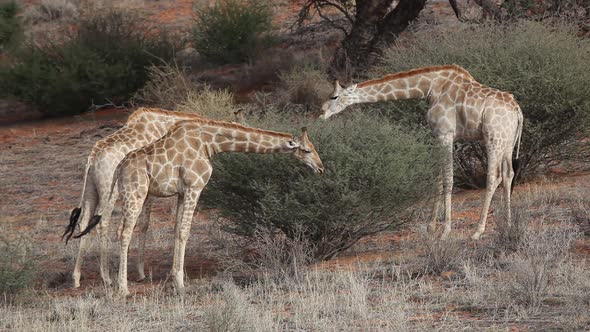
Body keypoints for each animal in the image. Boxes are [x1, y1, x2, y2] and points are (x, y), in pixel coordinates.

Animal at [75, 117, 326, 296]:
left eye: (314, 147)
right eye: (306, 150)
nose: (321, 168)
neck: (209, 143)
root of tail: (119, 167)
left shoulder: (180, 192)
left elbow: (177, 230)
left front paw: (175, 279)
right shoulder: (194, 186)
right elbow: (185, 232)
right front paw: (180, 284)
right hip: (135, 193)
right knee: (123, 231)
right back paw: (122, 287)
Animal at [322, 65, 524, 240]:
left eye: (334, 97)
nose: (322, 113)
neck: (430, 88)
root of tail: (518, 111)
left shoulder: (445, 134)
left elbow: (449, 180)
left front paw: (445, 232)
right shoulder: (440, 136)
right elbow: (438, 179)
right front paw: (431, 227)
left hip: (493, 139)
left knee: (493, 177)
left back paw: (477, 231)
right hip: (506, 142)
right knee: (508, 174)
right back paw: (508, 224)